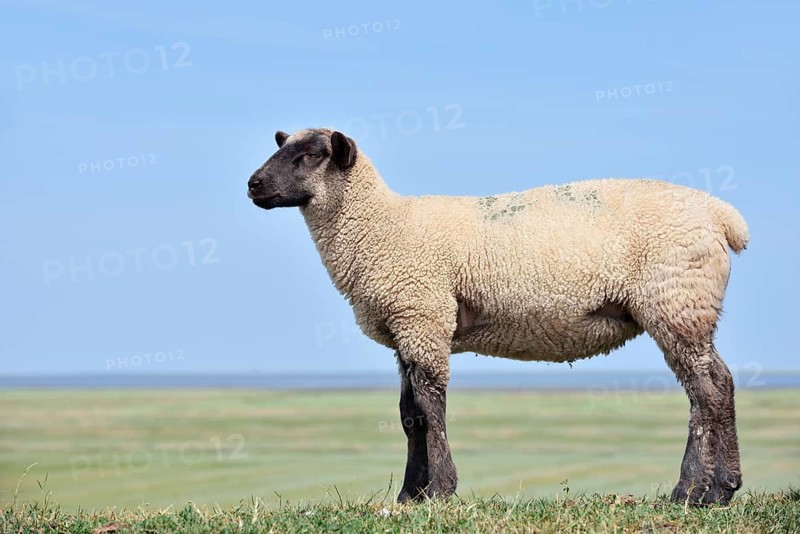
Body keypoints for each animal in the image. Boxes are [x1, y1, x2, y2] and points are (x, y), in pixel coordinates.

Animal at [247, 128, 749, 506]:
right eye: (282, 146)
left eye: (312, 155)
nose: (252, 184)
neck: (381, 227)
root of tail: (721, 215)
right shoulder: (406, 329)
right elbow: (409, 414)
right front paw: (410, 495)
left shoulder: (423, 317)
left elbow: (431, 408)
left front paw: (440, 491)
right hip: (688, 306)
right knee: (717, 384)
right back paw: (718, 490)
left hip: (675, 301)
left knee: (705, 392)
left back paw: (692, 491)